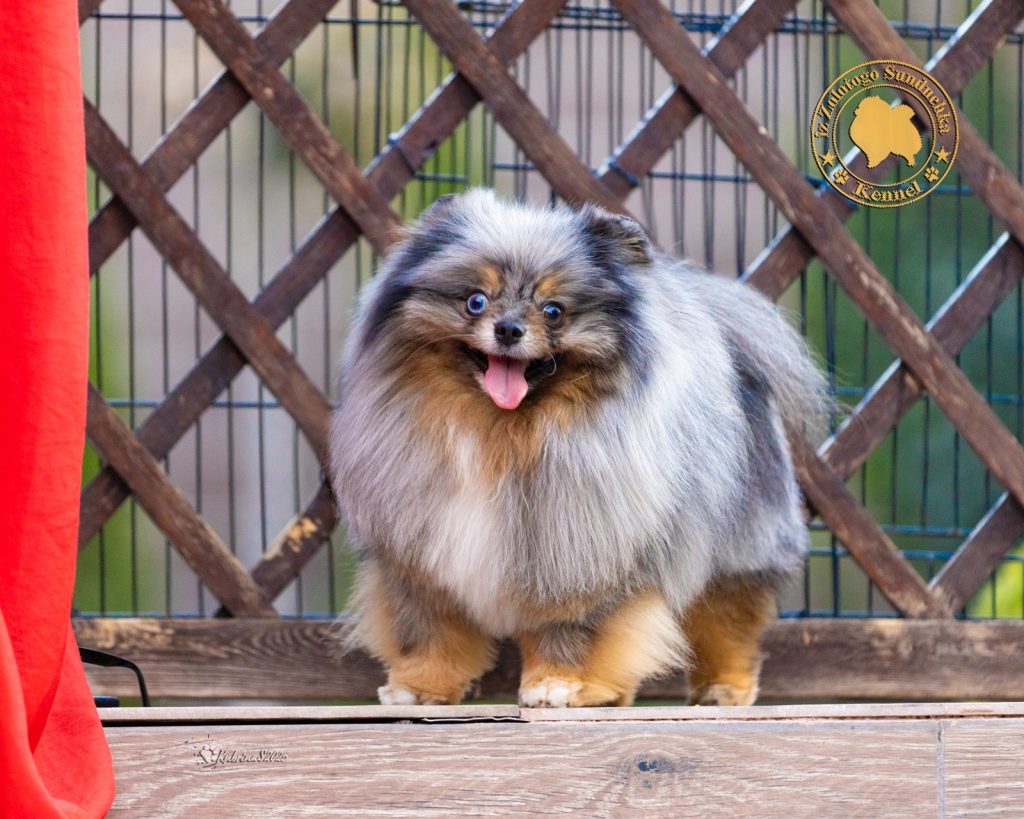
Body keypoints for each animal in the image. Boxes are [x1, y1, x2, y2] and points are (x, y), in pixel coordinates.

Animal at [330, 190, 826, 707]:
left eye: (554, 311)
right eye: (475, 301)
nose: (509, 329)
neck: (498, 433)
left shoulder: (581, 553)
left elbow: (575, 629)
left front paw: (557, 684)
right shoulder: (422, 563)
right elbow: (431, 629)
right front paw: (419, 687)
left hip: (739, 542)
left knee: (728, 613)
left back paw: (723, 688)